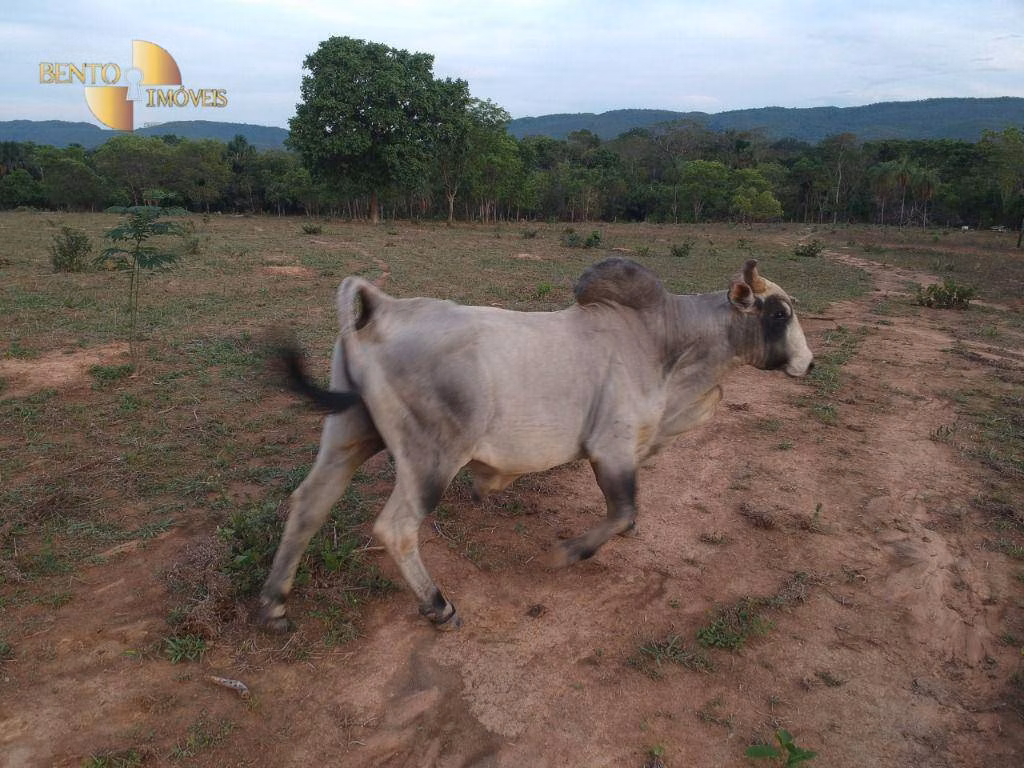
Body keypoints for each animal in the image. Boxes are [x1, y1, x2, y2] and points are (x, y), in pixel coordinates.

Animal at [258, 257, 813, 631]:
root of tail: (382, 308)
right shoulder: (611, 448)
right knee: (395, 528)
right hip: (431, 459)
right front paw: (566, 553)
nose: (809, 364)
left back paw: (273, 604)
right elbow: (624, 513)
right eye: (779, 313)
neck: (662, 343)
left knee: (309, 504)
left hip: (349, 435)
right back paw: (438, 606)